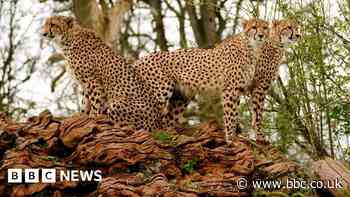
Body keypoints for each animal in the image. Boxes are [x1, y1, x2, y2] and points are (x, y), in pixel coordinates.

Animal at [133, 18, 270, 143]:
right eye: (254, 27)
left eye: (265, 28)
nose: (261, 35)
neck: (252, 47)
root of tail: (141, 59)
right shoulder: (230, 90)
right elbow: (230, 115)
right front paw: (231, 137)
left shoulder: (240, 89)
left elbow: (243, 113)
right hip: (160, 92)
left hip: (180, 98)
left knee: (166, 120)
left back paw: (169, 136)